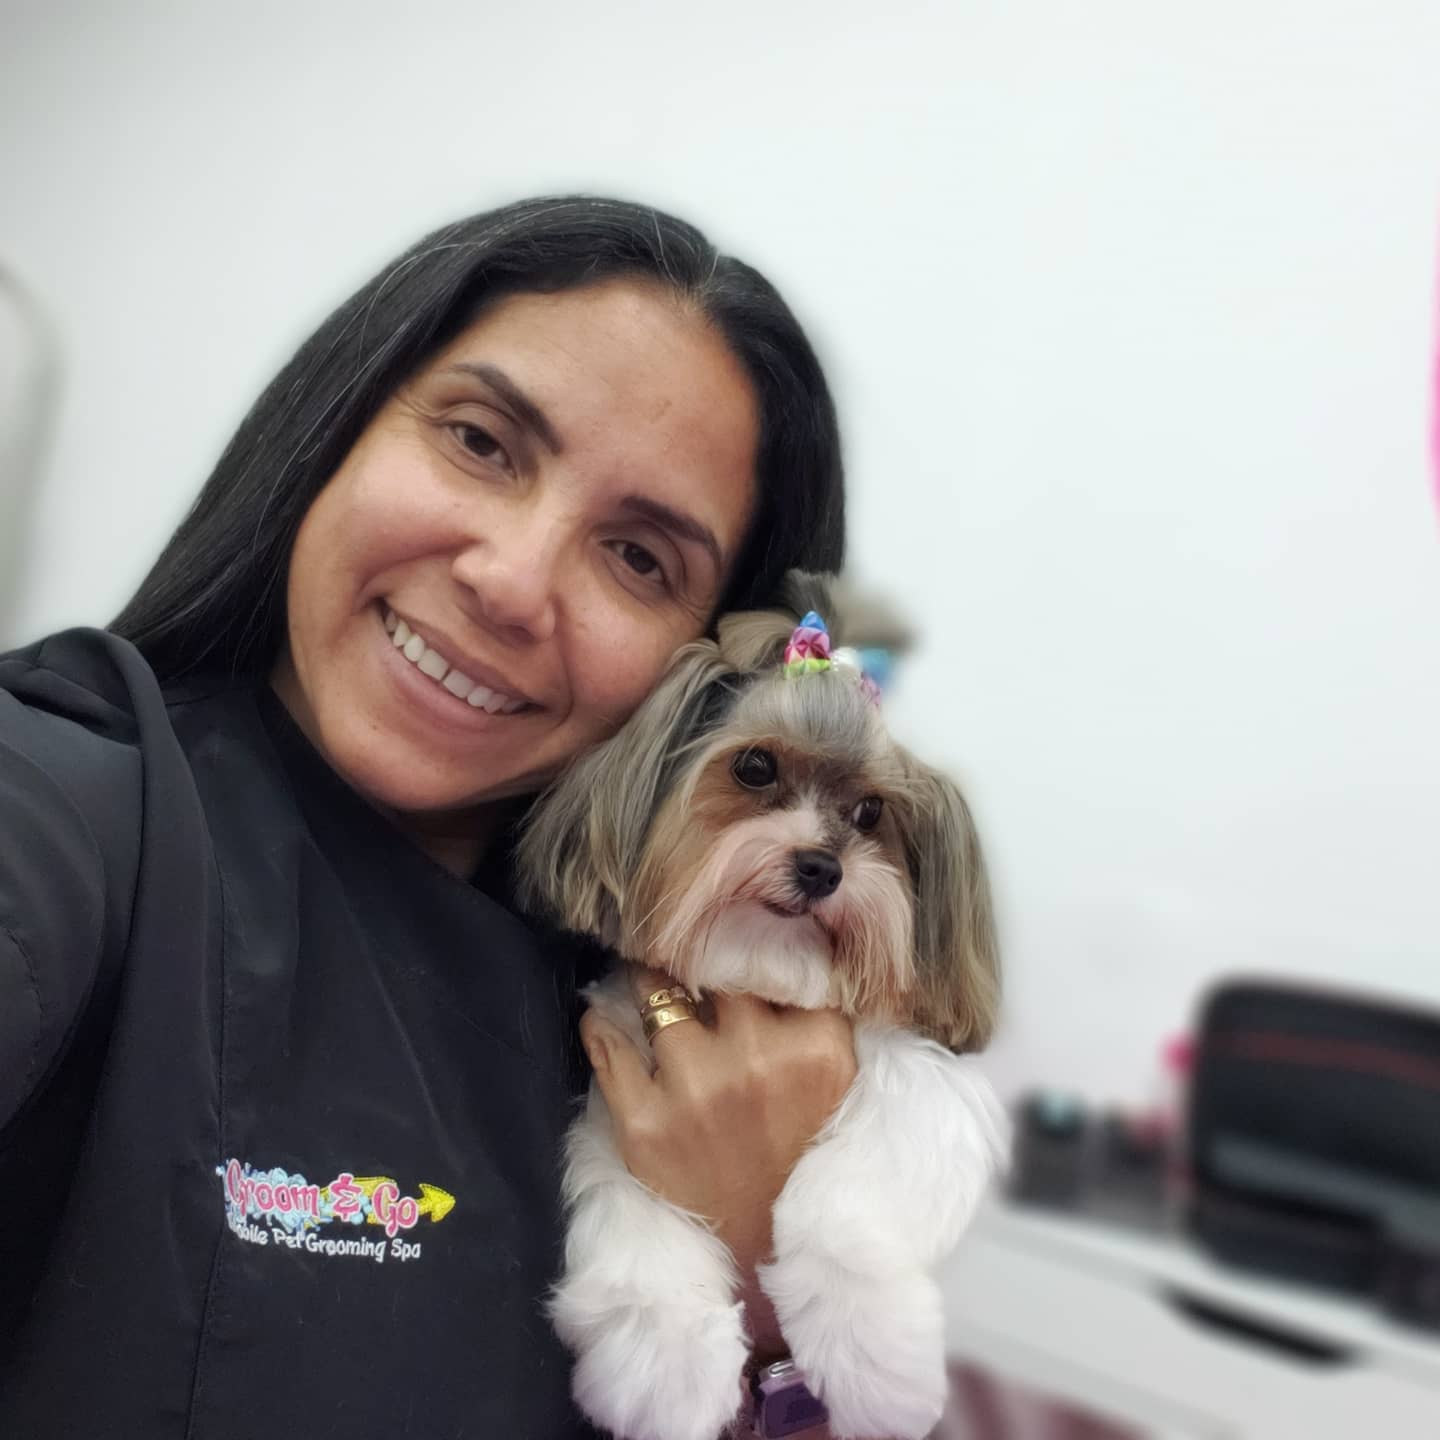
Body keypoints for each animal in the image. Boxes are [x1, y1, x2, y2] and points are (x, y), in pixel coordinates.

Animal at [517, 575, 1008, 1440]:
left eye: (872, 812)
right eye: (753, 766)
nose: (820, 867)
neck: (758, 973)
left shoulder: (922, 1080)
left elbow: (849, 1205)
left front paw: (875, 1356)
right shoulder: (619, 1103)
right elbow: (633, 1218)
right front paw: (665, 1364)